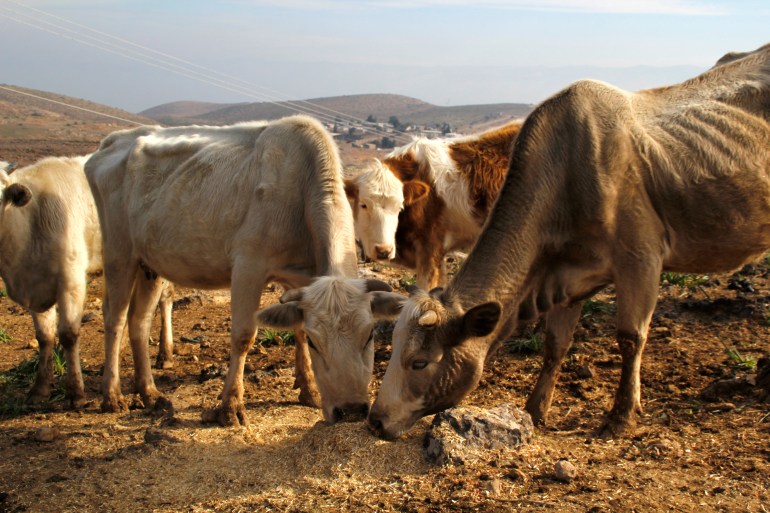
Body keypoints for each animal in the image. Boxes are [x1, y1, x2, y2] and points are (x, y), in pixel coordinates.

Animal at [0, 156, 174, 408]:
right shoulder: (34, 286)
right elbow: (44, 337)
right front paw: (39, 389)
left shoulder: (71, 281)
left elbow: (68, 335)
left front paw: (76, 393)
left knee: (166, 299)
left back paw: (165, 354)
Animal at [85, 115, 404, 424]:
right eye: (317, 342)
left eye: (370, 335)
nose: (350, 411)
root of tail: (112, 142)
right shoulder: (248, 266)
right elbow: (243, 335)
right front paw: (230, 407)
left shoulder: (299, 278)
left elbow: (296, 328)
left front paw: (309, 390)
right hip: (118, 253)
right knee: (115, 317)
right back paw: (112, 395)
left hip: (149, 263)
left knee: (139, 320)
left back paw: (149, 391)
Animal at [364, 42, 768, 438]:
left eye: (419, 362)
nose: (376, 420)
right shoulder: (565, 274)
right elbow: (555, 344)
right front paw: (534, 409)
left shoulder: (641, 258)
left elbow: (631, 337)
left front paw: (621, 416)